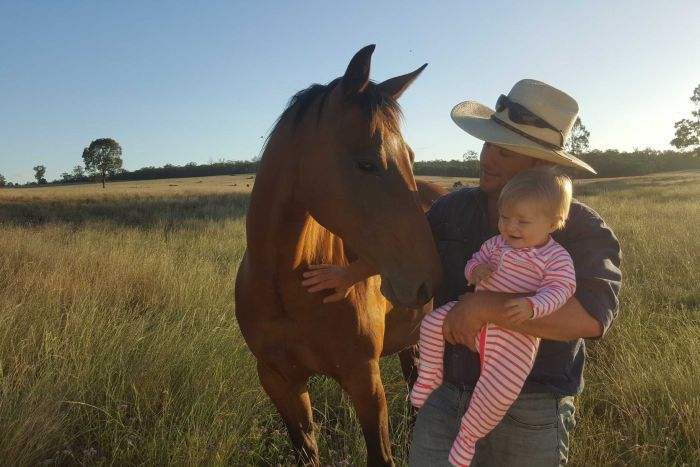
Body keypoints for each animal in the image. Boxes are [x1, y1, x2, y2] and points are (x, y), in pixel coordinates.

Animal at [235, 44, 442, 467]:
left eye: (411, 157)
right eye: (366, 163)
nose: (427, 278)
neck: (285, 288)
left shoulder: (364, 381)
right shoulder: (279, 380)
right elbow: (306, 449)